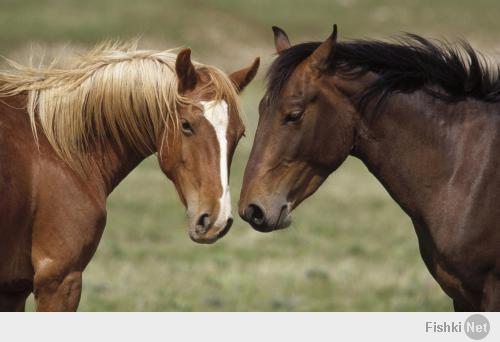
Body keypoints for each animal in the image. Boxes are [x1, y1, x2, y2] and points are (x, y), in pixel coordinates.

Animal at [0, 41, 258, 312]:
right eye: (186, 125)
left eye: (239, 133)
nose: (216, 220)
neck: (57, 147)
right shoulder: (59, 278)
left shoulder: (13, 291)